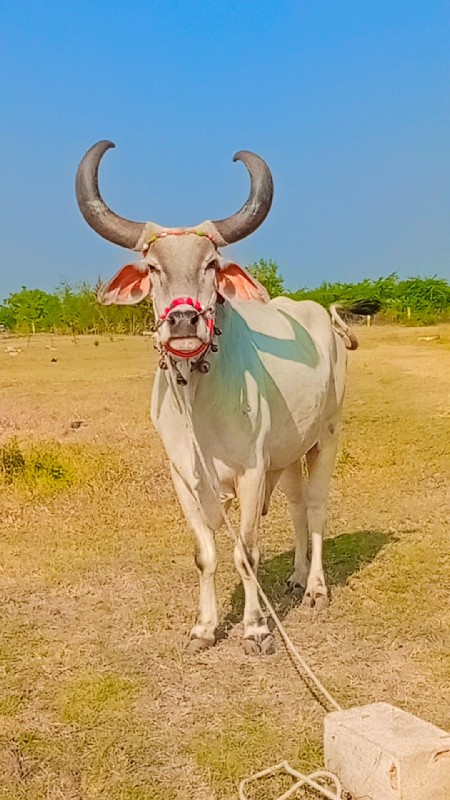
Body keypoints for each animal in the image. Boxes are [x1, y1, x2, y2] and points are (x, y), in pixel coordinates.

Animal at [75, 142, 372, 656]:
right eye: (153, 268)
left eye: (211, 264)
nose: (183, 323)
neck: (198, 400)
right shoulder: (183, 476)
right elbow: (206, 553)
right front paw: (204, 627)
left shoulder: (251, 472)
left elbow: (245, 552)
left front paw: (255, 630)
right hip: (286, 455)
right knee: (297, 506)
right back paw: (296, 577)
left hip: (327, 436)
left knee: (316, 507)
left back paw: (314, 588)